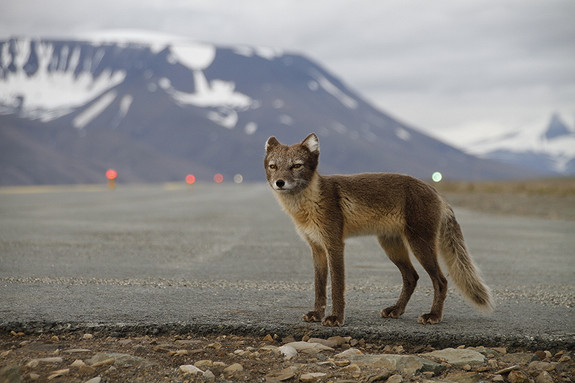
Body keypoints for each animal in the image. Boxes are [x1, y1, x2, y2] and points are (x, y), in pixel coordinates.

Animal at [266, 134, 496, 328]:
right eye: (273, 166)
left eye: (296, 166)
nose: (279, 182)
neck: (309, 204)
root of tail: (435, 191)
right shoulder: (316, 248)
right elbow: (319, 287)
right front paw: (317, 314)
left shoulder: (334, 245)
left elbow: (337, 286)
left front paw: (336, 318)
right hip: (392, 247)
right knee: (412, 277)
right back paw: (397, 310)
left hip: (420, 245)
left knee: (441, 281)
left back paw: (433, 316)